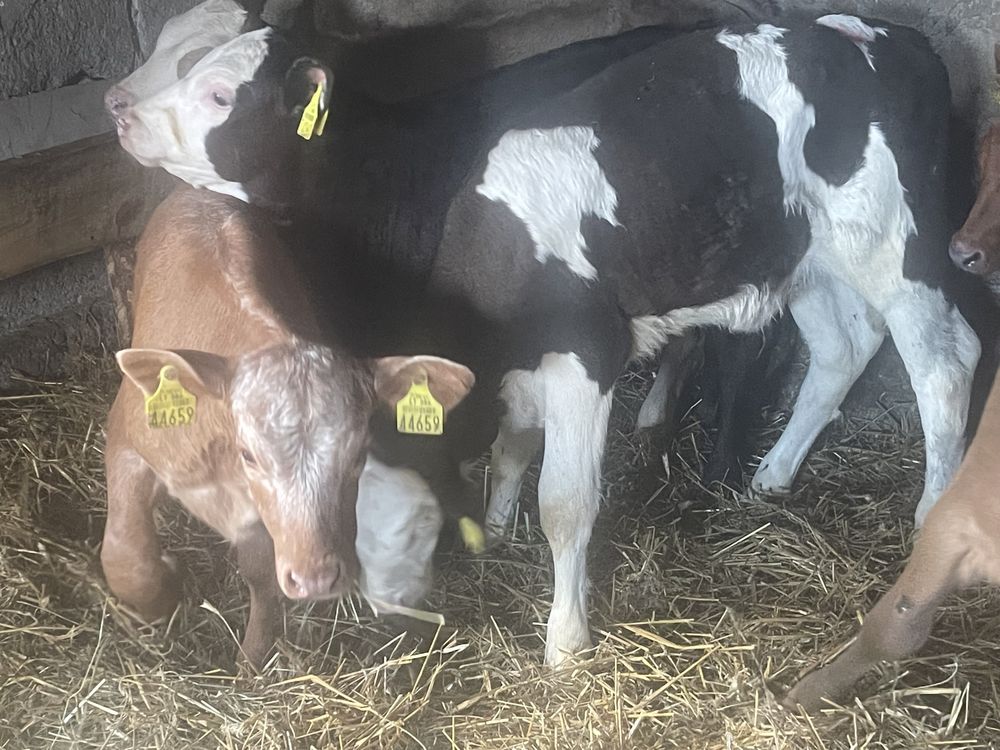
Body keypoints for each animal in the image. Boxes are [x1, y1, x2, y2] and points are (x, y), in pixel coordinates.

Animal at [105, 187, 472, 664]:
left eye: (359, 453)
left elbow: (261, 575)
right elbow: (127, 554)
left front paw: (252, 658)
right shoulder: (127, 437)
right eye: (248, 454)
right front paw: (162, 598)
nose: (316, 578)